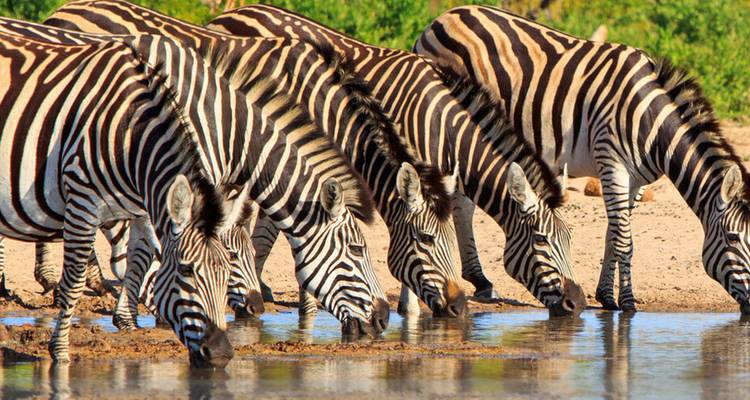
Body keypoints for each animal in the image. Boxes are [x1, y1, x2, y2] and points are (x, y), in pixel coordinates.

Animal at [205, 4, 585, 316]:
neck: (439, 123)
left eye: (569, 240)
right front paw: (411, 307)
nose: (578, 304)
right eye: (542, 241)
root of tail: (224, 16)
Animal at [413, 5, 750, 314]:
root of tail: (442, 17)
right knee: (462, 205)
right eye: (733, 238)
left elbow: (613, 235)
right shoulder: (610, 161)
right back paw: (479, 278)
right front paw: (628, 304)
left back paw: (479, 279)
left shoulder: (637, 180)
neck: (652, 124)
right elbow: (625, 241)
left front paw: (606, 297)